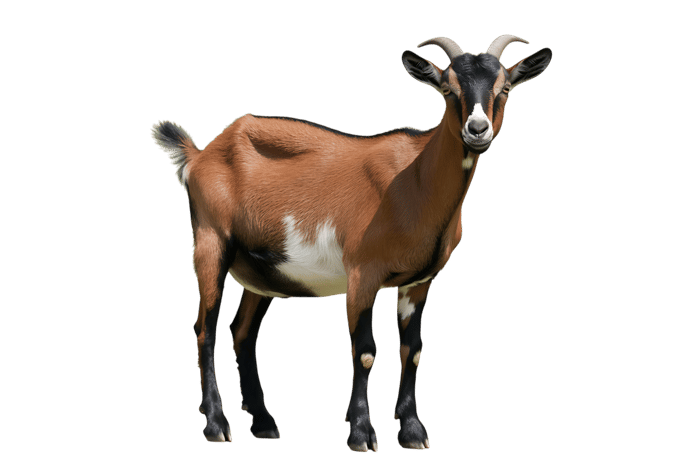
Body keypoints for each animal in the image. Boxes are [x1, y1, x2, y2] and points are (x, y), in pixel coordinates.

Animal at [150, 34, 552, 452]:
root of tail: (201, 155)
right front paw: (361, 433)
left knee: (242, 333)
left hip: (261, 271)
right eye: (447, 89)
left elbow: (413, 350)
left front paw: (412, 431)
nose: (477, 129)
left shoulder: (418, 282)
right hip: (210, 241)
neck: (414, 180)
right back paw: (217, 424)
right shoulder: (363, 272)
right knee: (205, 329)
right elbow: (365, 352)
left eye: (504, 88)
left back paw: (263, 422)